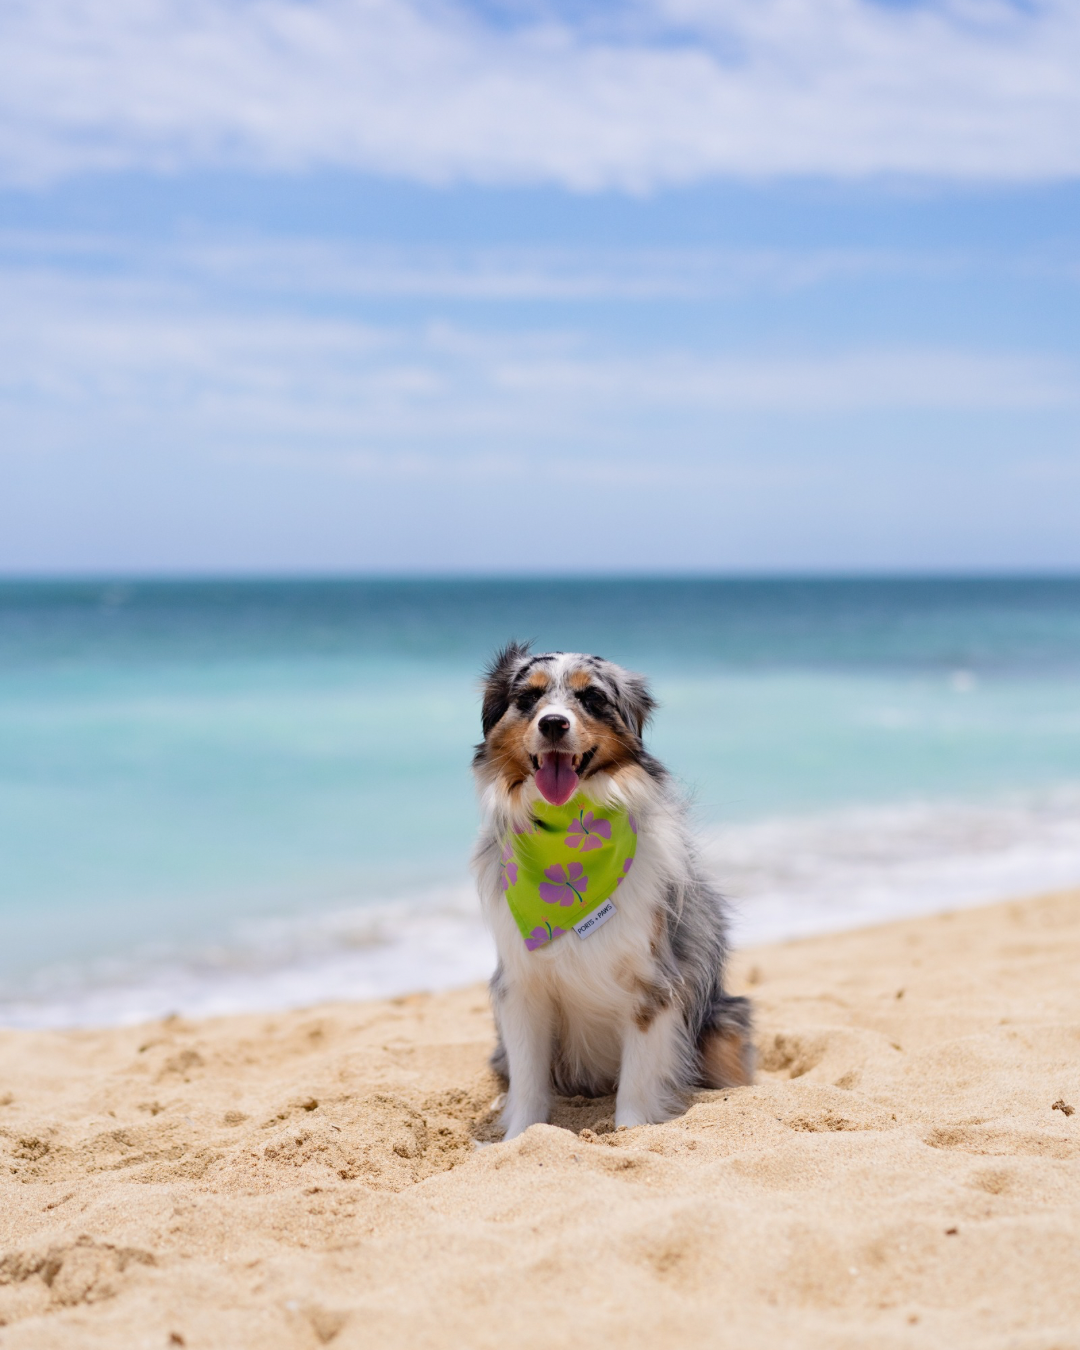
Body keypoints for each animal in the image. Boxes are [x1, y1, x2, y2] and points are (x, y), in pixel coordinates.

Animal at [472, 642, 750, 1139]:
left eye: (592, 698)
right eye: (528, 698)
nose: (554, 723)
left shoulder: (652, 982)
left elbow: (638, 1079)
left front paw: (630, 1133)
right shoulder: (521, 986)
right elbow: (527, 1080)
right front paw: (516, 1138)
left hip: (725, 1024)